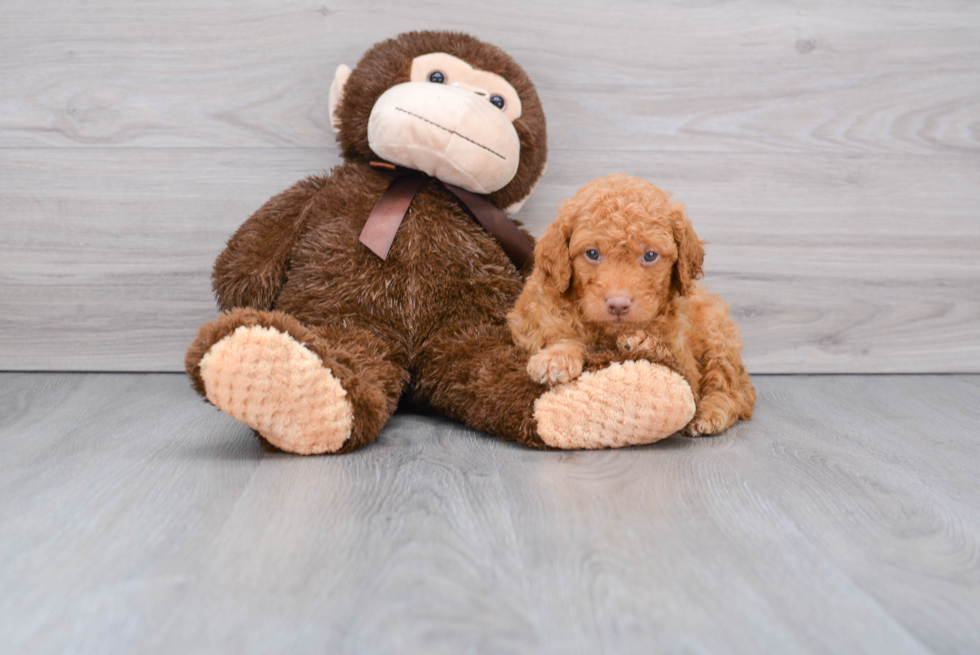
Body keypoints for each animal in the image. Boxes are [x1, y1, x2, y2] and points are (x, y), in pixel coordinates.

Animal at [510, 174, 756, 438]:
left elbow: (676, 360)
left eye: (649, 255)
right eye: (592, 253)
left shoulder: (684, 358)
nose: (618, 304)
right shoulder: (532, 317)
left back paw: (711, 413)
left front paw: (644, 342)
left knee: (730, 387)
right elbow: (555, 333)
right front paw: (557, 357)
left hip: (716, 331)